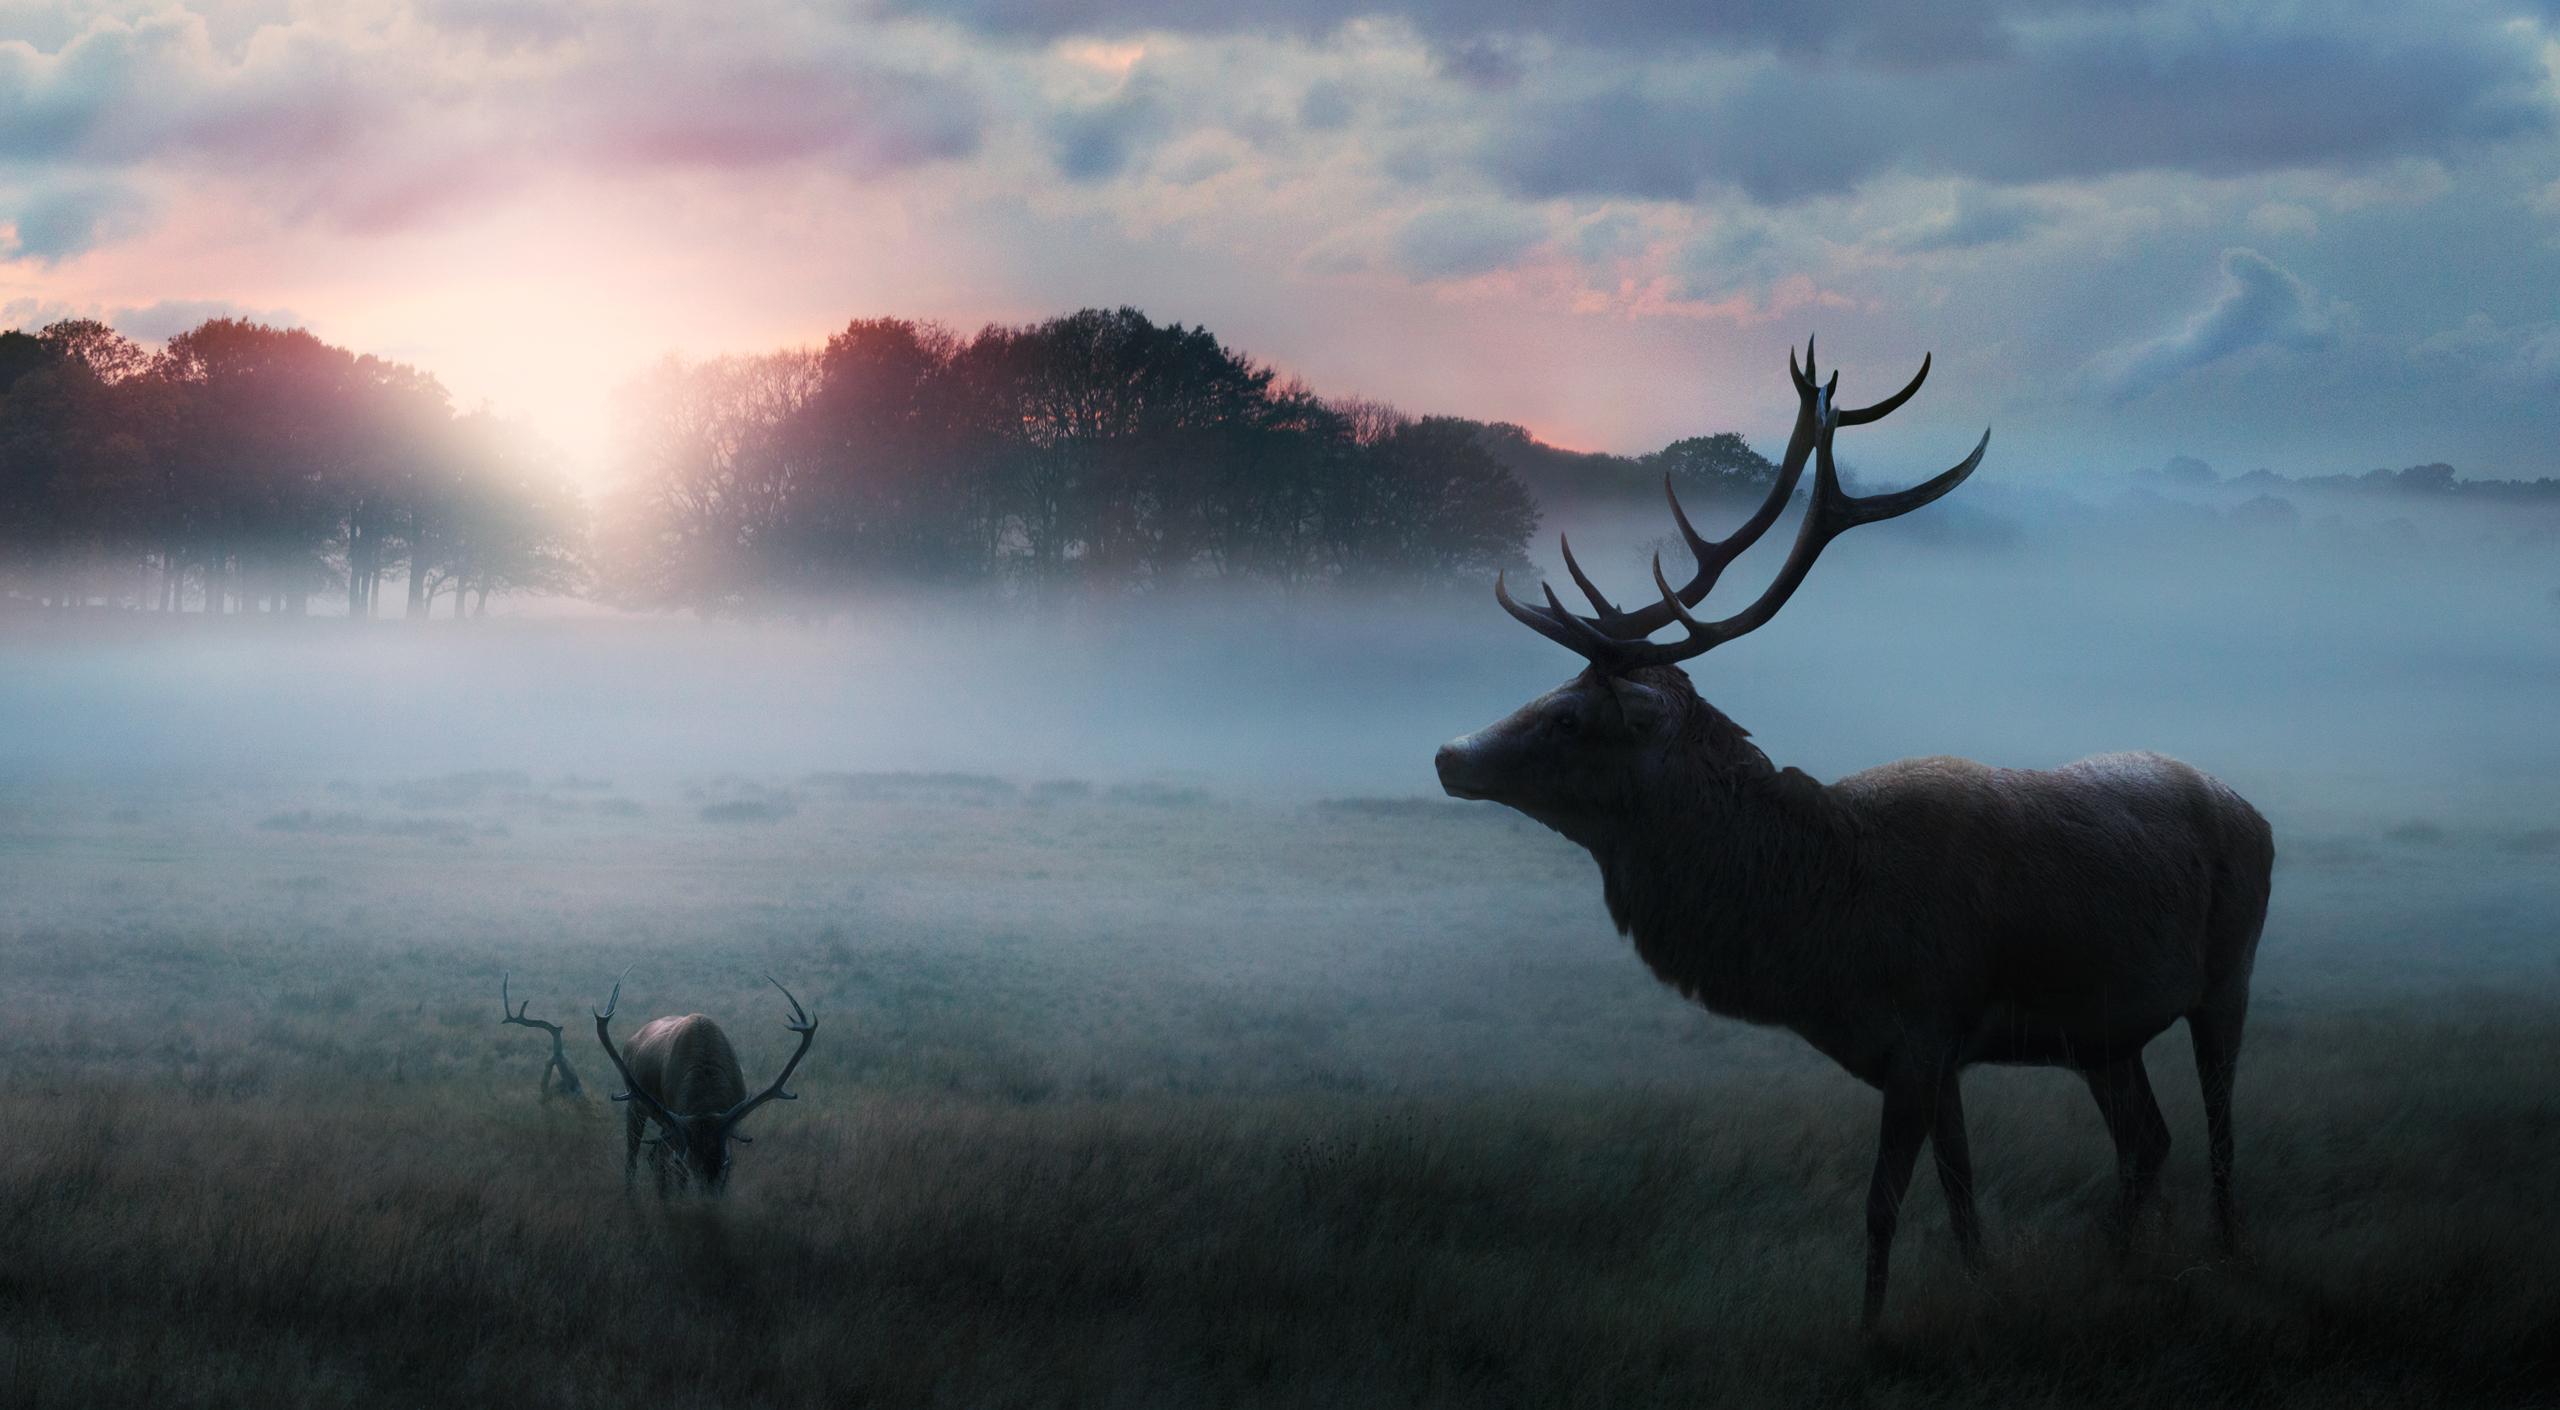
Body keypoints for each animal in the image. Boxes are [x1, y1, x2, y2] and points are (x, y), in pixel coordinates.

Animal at [592, 972, 818, 1194]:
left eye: (724, 1164)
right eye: (691, 1163)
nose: (708, 1198)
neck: (705, 1100)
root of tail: (632, 1039)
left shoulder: (723, 1130)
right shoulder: (680, 1127)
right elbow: (680, 1178)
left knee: (655, 1157)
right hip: (636, 1105)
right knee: (633, 1159)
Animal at [1434, 339, 2273, 1329]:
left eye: (1570, 719)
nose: (1449, 753)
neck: (1828, 934)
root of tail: (2253, 811)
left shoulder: (1922, 1031)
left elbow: (1883, 1203)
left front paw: (1871, 1331)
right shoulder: (1939, 1052)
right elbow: (1960, 1190)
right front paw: (1981, 1289)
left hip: (2228, 973)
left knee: (2219, 1128)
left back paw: (2224, 1252)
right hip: (2103, 1035)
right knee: (2148, 1140)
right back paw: (2116, 1264)